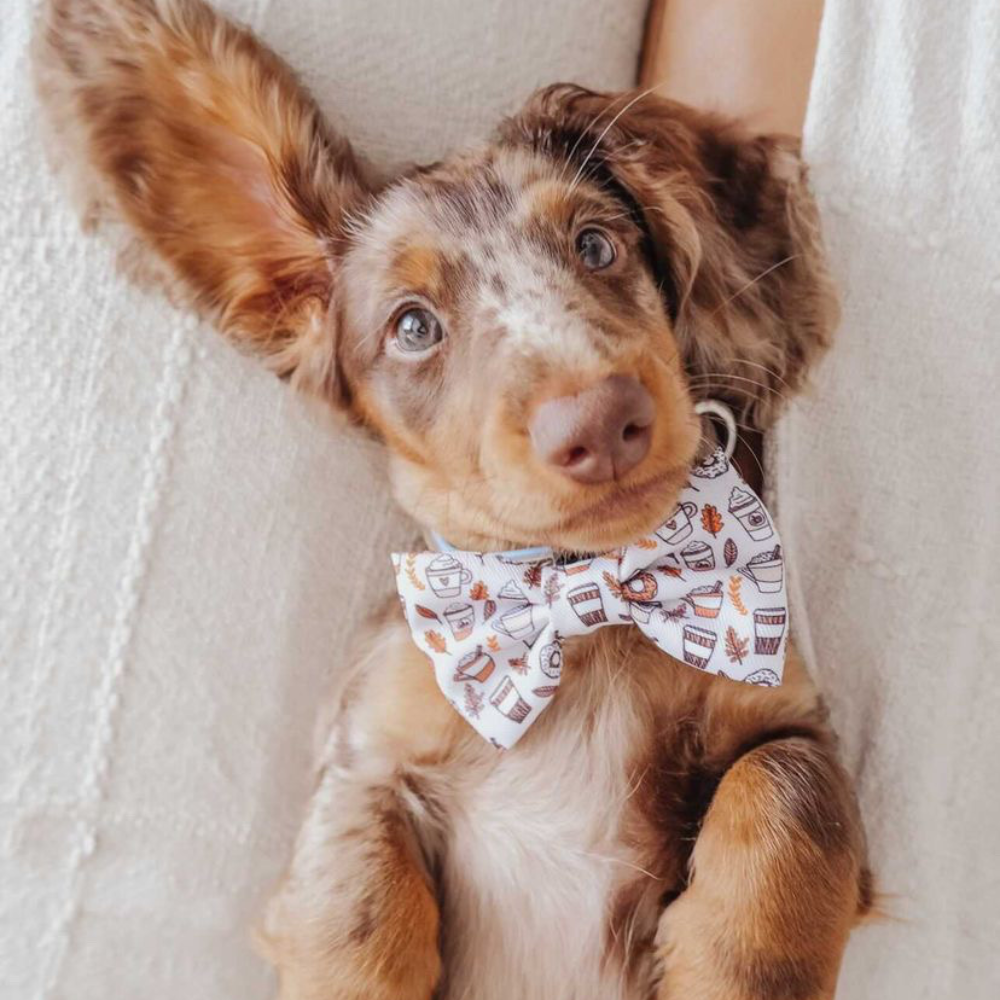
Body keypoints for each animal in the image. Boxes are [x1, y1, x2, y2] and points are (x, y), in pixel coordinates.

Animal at [35, 1, 872, 1000]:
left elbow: (790, 788)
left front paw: (727, 965)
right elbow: (355, 919)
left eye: (597, 244)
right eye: (412, 327)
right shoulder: (365, 760)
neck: (582, 609)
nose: (602, 422)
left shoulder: (788, 709)